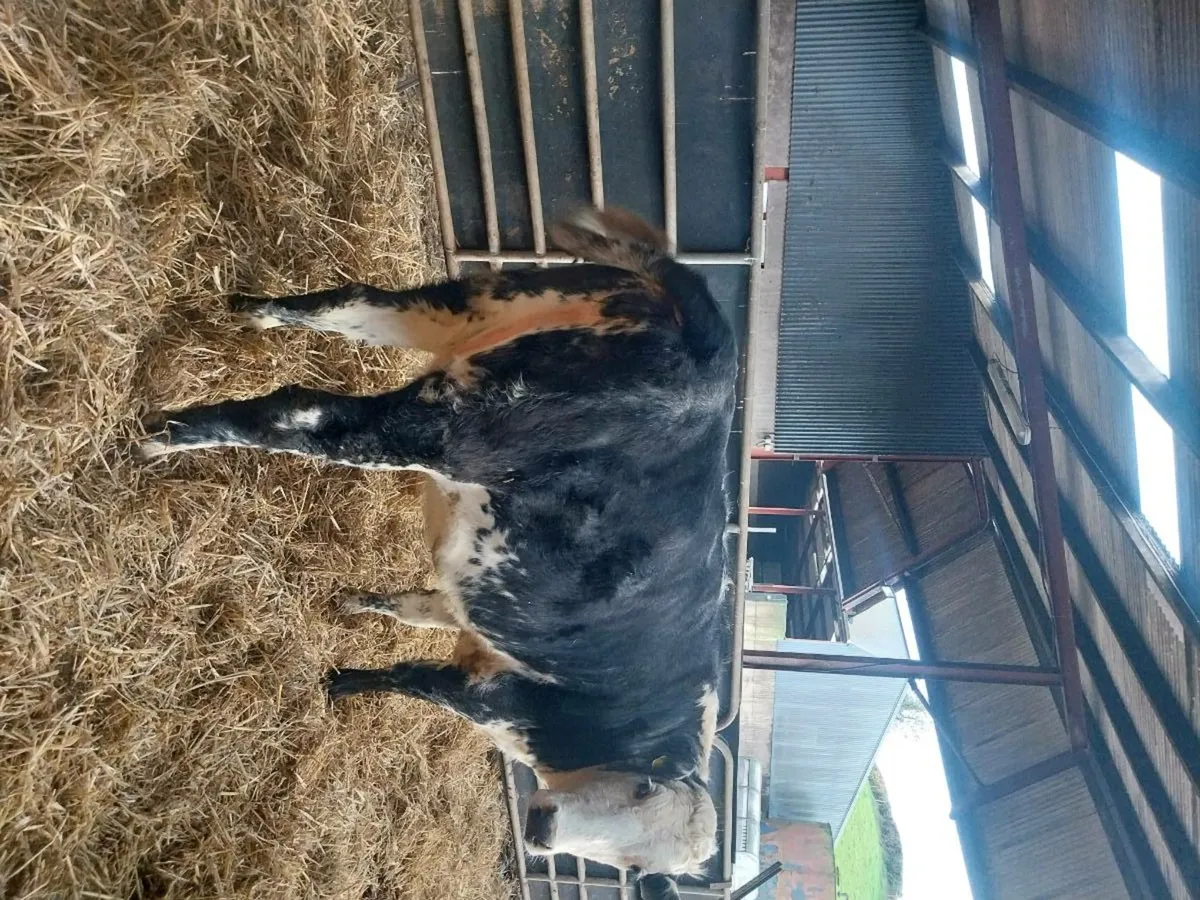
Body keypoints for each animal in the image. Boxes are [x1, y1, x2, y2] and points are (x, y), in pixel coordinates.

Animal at [136, 207, 737, 900]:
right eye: (641, 788)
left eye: (636, 868)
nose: (544, 830)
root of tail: (713, 359)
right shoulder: (489, 695)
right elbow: (409, 677)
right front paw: (341, 683)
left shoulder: (466, 614)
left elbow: (412, 610)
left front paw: (353, 611)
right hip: (447, 424)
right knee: (307, 414)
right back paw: (164, 436)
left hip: (474, 306)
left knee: (351, 302)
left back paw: (251, 313)